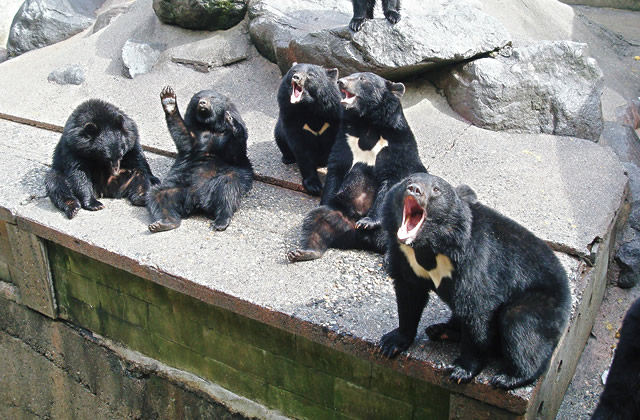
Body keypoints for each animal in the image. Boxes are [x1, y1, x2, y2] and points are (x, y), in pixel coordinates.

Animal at [147, 86, 252, 233]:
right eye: (198, 97)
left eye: (212, 98)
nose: (202, 103)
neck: (209, 127)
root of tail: (195, 200)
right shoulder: (195, 135)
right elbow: (184, 137)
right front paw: (169, 99)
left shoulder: (227, 141)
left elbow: (235, 153)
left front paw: (232, 121)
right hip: (178, 187)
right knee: (157, 195)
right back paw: (164, 223)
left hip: (223, 182)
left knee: (229, 188)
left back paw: (221, 221)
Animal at [288, 72, 428, 262]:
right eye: (350, 75)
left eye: (362, 79)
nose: (341, 82)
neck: (367, 124)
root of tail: (363, 240)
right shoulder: (345, 139)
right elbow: (336, 168)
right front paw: (325, 199)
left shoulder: (397, 144)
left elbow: (392, 179)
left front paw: (368, 221)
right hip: (338, 218)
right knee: (315, 222)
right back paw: (302, 252)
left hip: (403, 224)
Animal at [378, 173, 572, 390]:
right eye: (408, 181)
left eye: (436, 189)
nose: (414, 190)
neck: (427, 247)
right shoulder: (405, 259)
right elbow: (409, 295)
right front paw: (390, 343)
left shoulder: (474, 260)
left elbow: (476, 308)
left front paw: (461, 370)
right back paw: (441, 330)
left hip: (543, 302)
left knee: (521, 326)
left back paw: (509, 377)